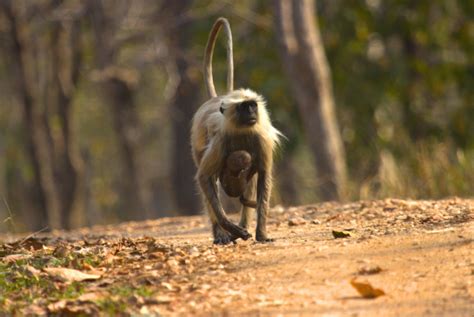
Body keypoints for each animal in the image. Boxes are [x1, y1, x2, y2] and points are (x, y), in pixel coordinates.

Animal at [191, 17, 284, 244]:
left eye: (252, 105)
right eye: (243, 107)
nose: (251, 112)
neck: (241, 130)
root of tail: (216, 99)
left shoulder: (261, 139)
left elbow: (263, 177)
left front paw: (261, 234)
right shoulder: (221, 141)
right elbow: (204, 177)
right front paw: (227, 226)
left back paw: (243, 224)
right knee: (209, 182)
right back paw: (222, 233)